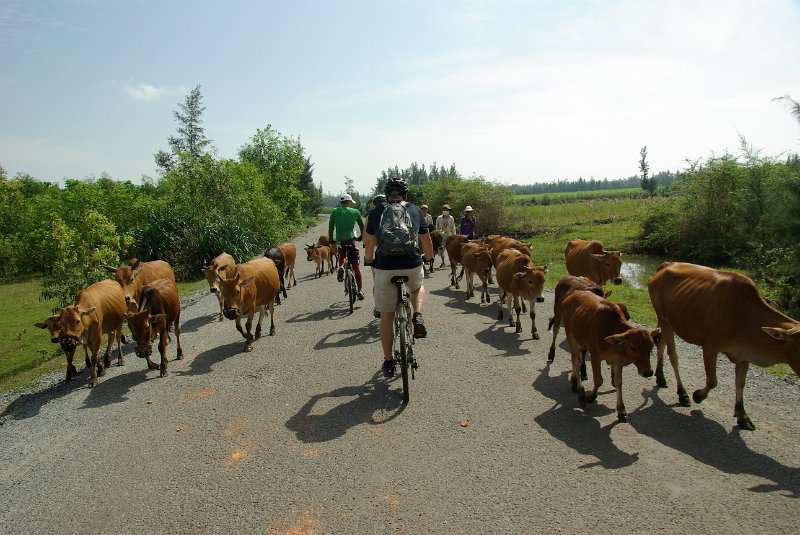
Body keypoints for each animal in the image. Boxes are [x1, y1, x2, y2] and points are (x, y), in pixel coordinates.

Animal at [560, 288, 660, 422]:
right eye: (633, 348)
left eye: (651, 347)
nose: (648, 372)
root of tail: (573, 294)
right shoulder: (595, 356)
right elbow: (598, 380)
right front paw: (591, 397)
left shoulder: (618, 362)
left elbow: (618, 383)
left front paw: (621, 411)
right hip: (571, 336)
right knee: (576, 361)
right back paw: (581, 393)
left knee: (575, 360)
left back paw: (574, 381)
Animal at [648, 262, 800, 434]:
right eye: (798, 347)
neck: (748, 316)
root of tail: (666, 265)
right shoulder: (710, 347)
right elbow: (712, 381)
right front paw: (697, 396)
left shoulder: (744, 354)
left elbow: (740, 383)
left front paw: (742, 415)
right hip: (664, 318)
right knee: (673, 355)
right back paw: (682, 393)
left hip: (668, 321)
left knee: (660, 343)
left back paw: (661, 377)